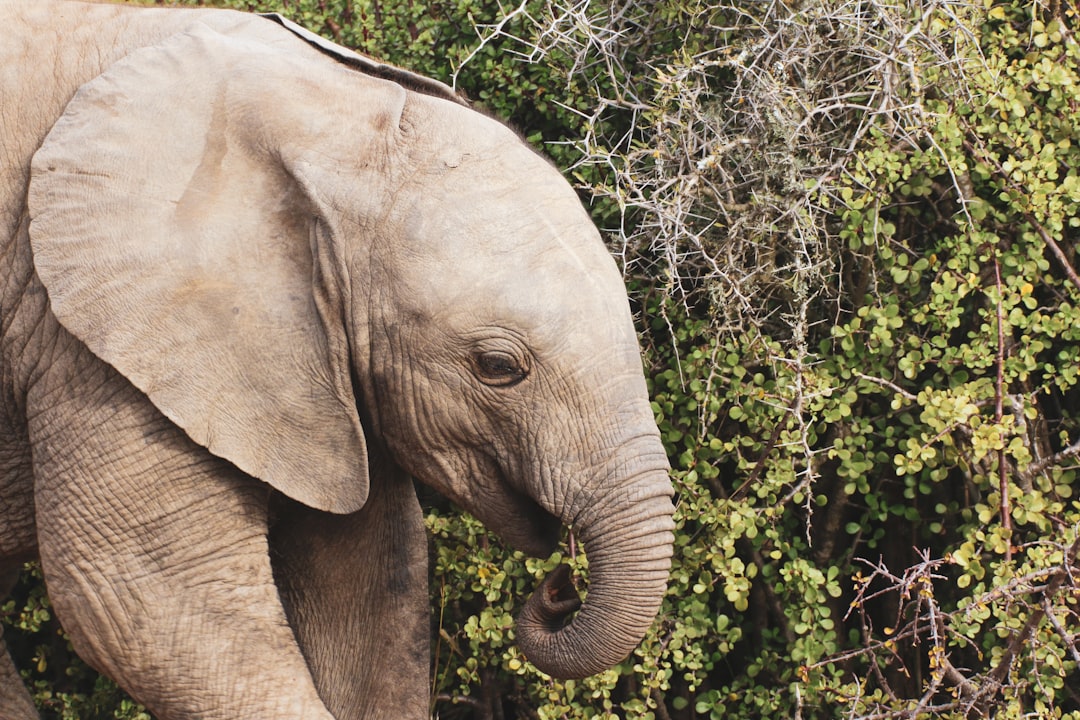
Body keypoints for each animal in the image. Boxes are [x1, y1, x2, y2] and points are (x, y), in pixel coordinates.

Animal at [0, 1, 673, 720]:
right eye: (498, 366)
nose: (559, 589)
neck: (330, 117)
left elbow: (371, 589)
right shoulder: (87, 333)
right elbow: (145, 602)